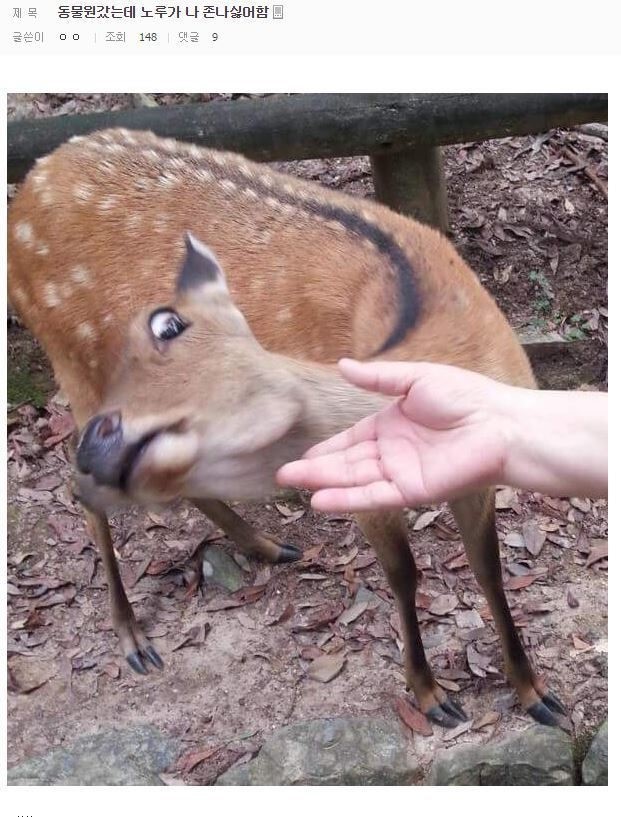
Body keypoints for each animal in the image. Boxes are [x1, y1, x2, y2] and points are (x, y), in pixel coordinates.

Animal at [8, 127, 568, 729]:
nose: (104, 447)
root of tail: (31, 185)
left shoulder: (477, 475)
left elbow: (489, 569)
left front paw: (537, 693)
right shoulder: (360, 484)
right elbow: (405, 573)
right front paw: (430, 695)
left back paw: (267, 546)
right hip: (71, 362)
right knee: (78, 488)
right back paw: (133, 636)